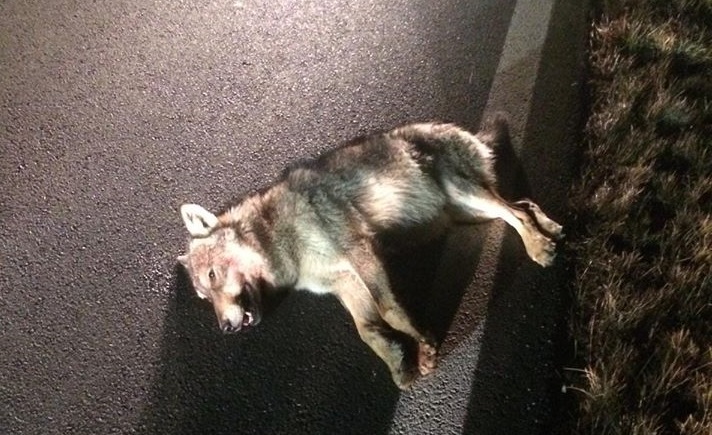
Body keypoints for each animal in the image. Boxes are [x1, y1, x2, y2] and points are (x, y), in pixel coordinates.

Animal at [177, 116, 563, 389]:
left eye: (212, 275)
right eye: (204, 297)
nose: (226, 328)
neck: (282, 238)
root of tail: (464, 132)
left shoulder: (362, 252)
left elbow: (389, 311)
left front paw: (423, 347)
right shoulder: (344, 282)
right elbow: (367, 330)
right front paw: (398, 364)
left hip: (468, 197)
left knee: (517, 213)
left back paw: (539, 247)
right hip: (466, 214)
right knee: (522, 205)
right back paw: (551, 230)